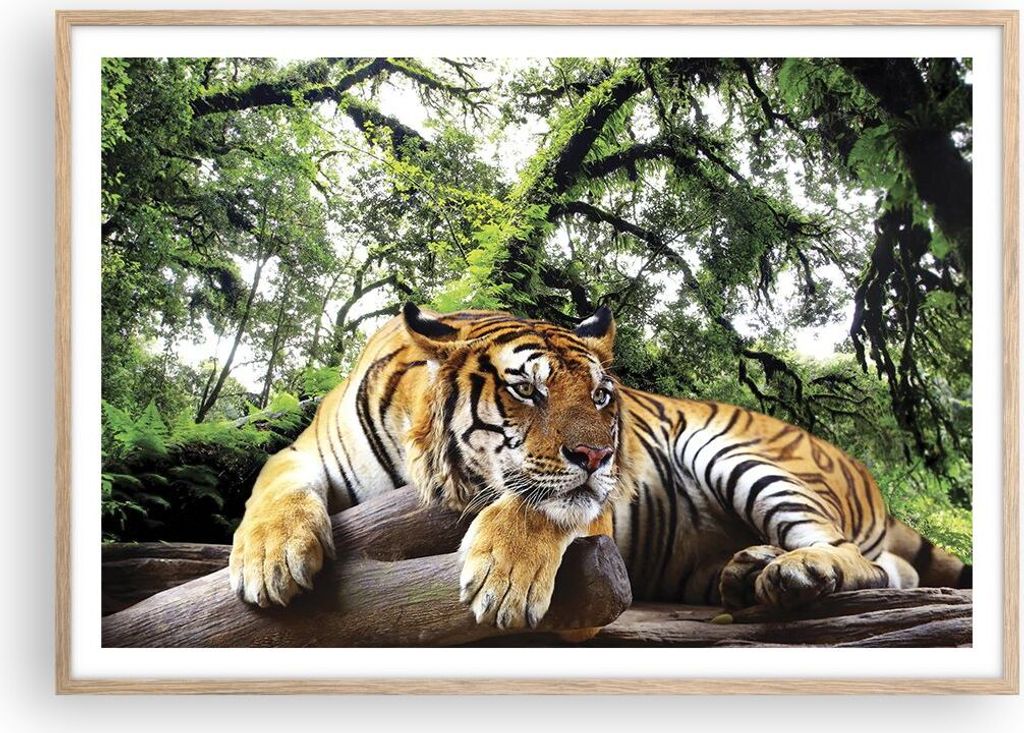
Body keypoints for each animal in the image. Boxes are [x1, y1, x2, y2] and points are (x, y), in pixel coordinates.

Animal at [228, 304, 971, 631]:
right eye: (526, 389)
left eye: (602, 396)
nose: (599, 454)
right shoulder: (303, 452)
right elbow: (272, 485)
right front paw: (270, 559)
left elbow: (544, 504)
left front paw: (503, 580)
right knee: (888, 567)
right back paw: (749, 568)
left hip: (741, 455)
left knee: (859, 559)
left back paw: (793, 572)